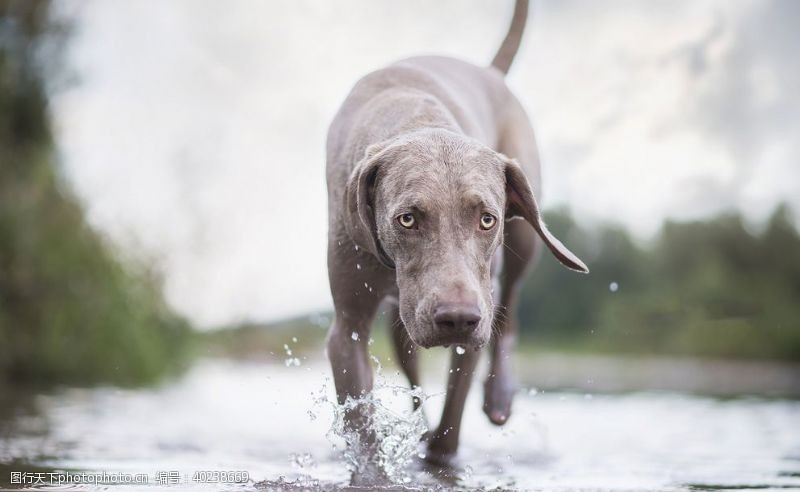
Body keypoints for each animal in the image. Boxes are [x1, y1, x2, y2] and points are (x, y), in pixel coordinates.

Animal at [324, 0, 588, 466]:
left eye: (487, 219)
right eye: (407, 219)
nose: (457, 318)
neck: (416, 120)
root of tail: (490, 71)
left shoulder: (478, 309)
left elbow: (453, 417)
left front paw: (439, 452)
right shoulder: (348, 327)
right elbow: (362, 425)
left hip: (521, 245)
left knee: (510, 313)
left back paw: (499, 398)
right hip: (405, 322)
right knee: (410, 362)